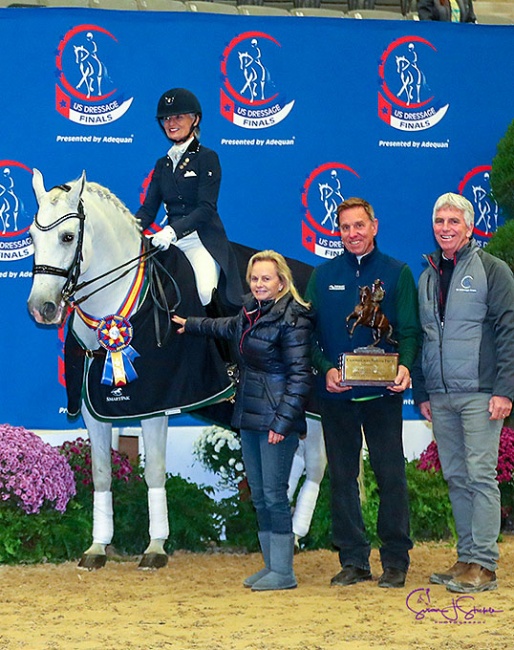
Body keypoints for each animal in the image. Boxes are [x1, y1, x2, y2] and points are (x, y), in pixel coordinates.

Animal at [26, 168, 230, 568]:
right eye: (30, 236)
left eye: (68, 236)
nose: (40, 308)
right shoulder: (93, 409)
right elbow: (102, 473)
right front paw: (97, 548)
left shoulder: (155, 406)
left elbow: (153, 471)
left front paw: (155, 548)